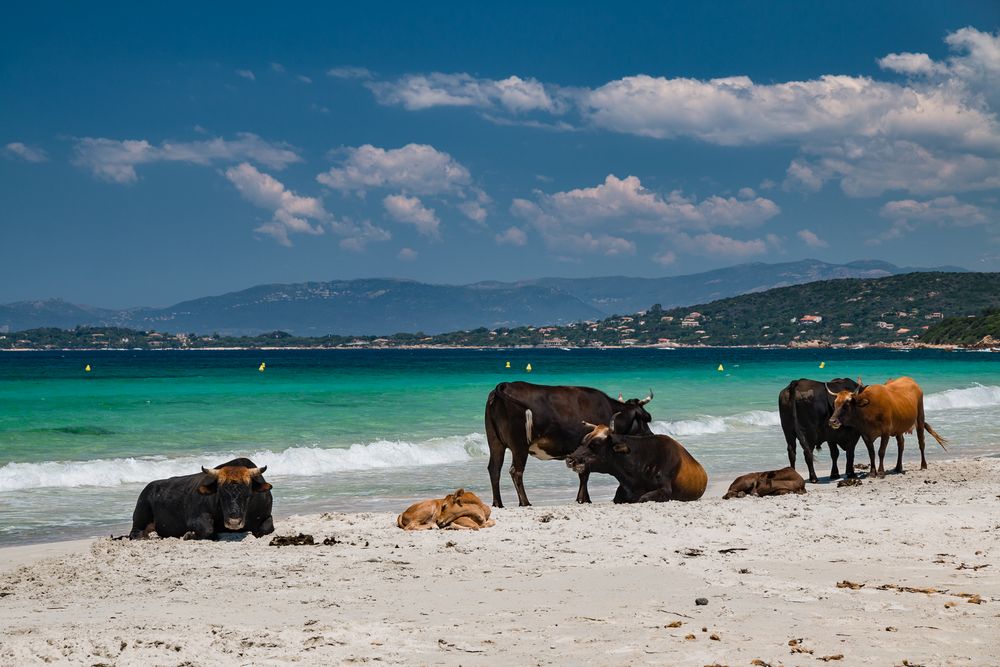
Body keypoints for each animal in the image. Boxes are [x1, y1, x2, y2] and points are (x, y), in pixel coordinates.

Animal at [131, 456, 278, 540]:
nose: (234, 521)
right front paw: (189, 535)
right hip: (140, 516)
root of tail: (150, 486)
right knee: (135, 533)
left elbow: (267, 528)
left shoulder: (266, 516)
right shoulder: (195, 518)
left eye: (248, 493)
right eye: (220, 493)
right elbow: (208, 529)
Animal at [484, 384, 656, 508]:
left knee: (494, 469)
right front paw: (584, 499)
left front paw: (582, 499)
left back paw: (498, 503)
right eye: (646, 418)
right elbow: (584, 473)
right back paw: (525, 502)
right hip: (519, 446)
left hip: (495, 442)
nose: (651, 435)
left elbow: (583, 473)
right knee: (516, 471)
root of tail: (504, 385)